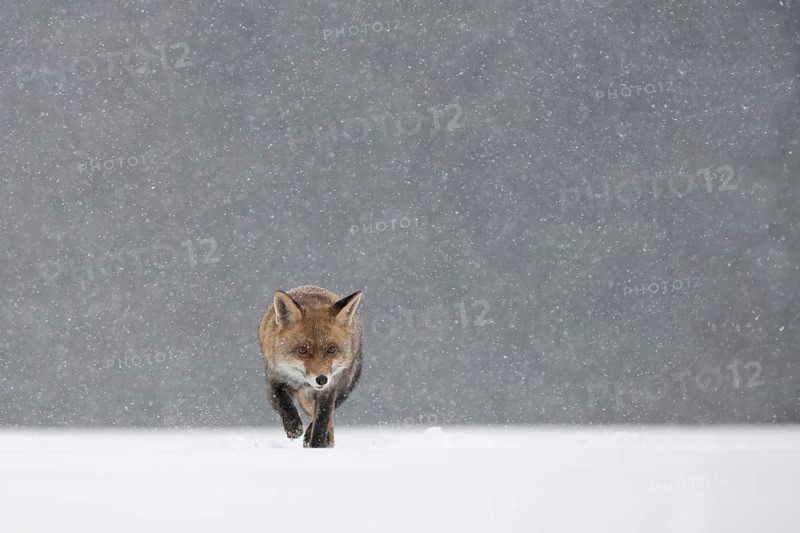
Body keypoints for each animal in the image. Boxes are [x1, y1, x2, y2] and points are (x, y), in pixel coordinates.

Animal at [258, 285, 363, 448]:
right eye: (302, 350)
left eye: (331, 349)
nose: (321, 379)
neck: (302, 382)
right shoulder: (275, 379)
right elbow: (283, 402)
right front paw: (293, 426)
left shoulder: (329, 390)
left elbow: (322, 419)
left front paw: (317, 444)